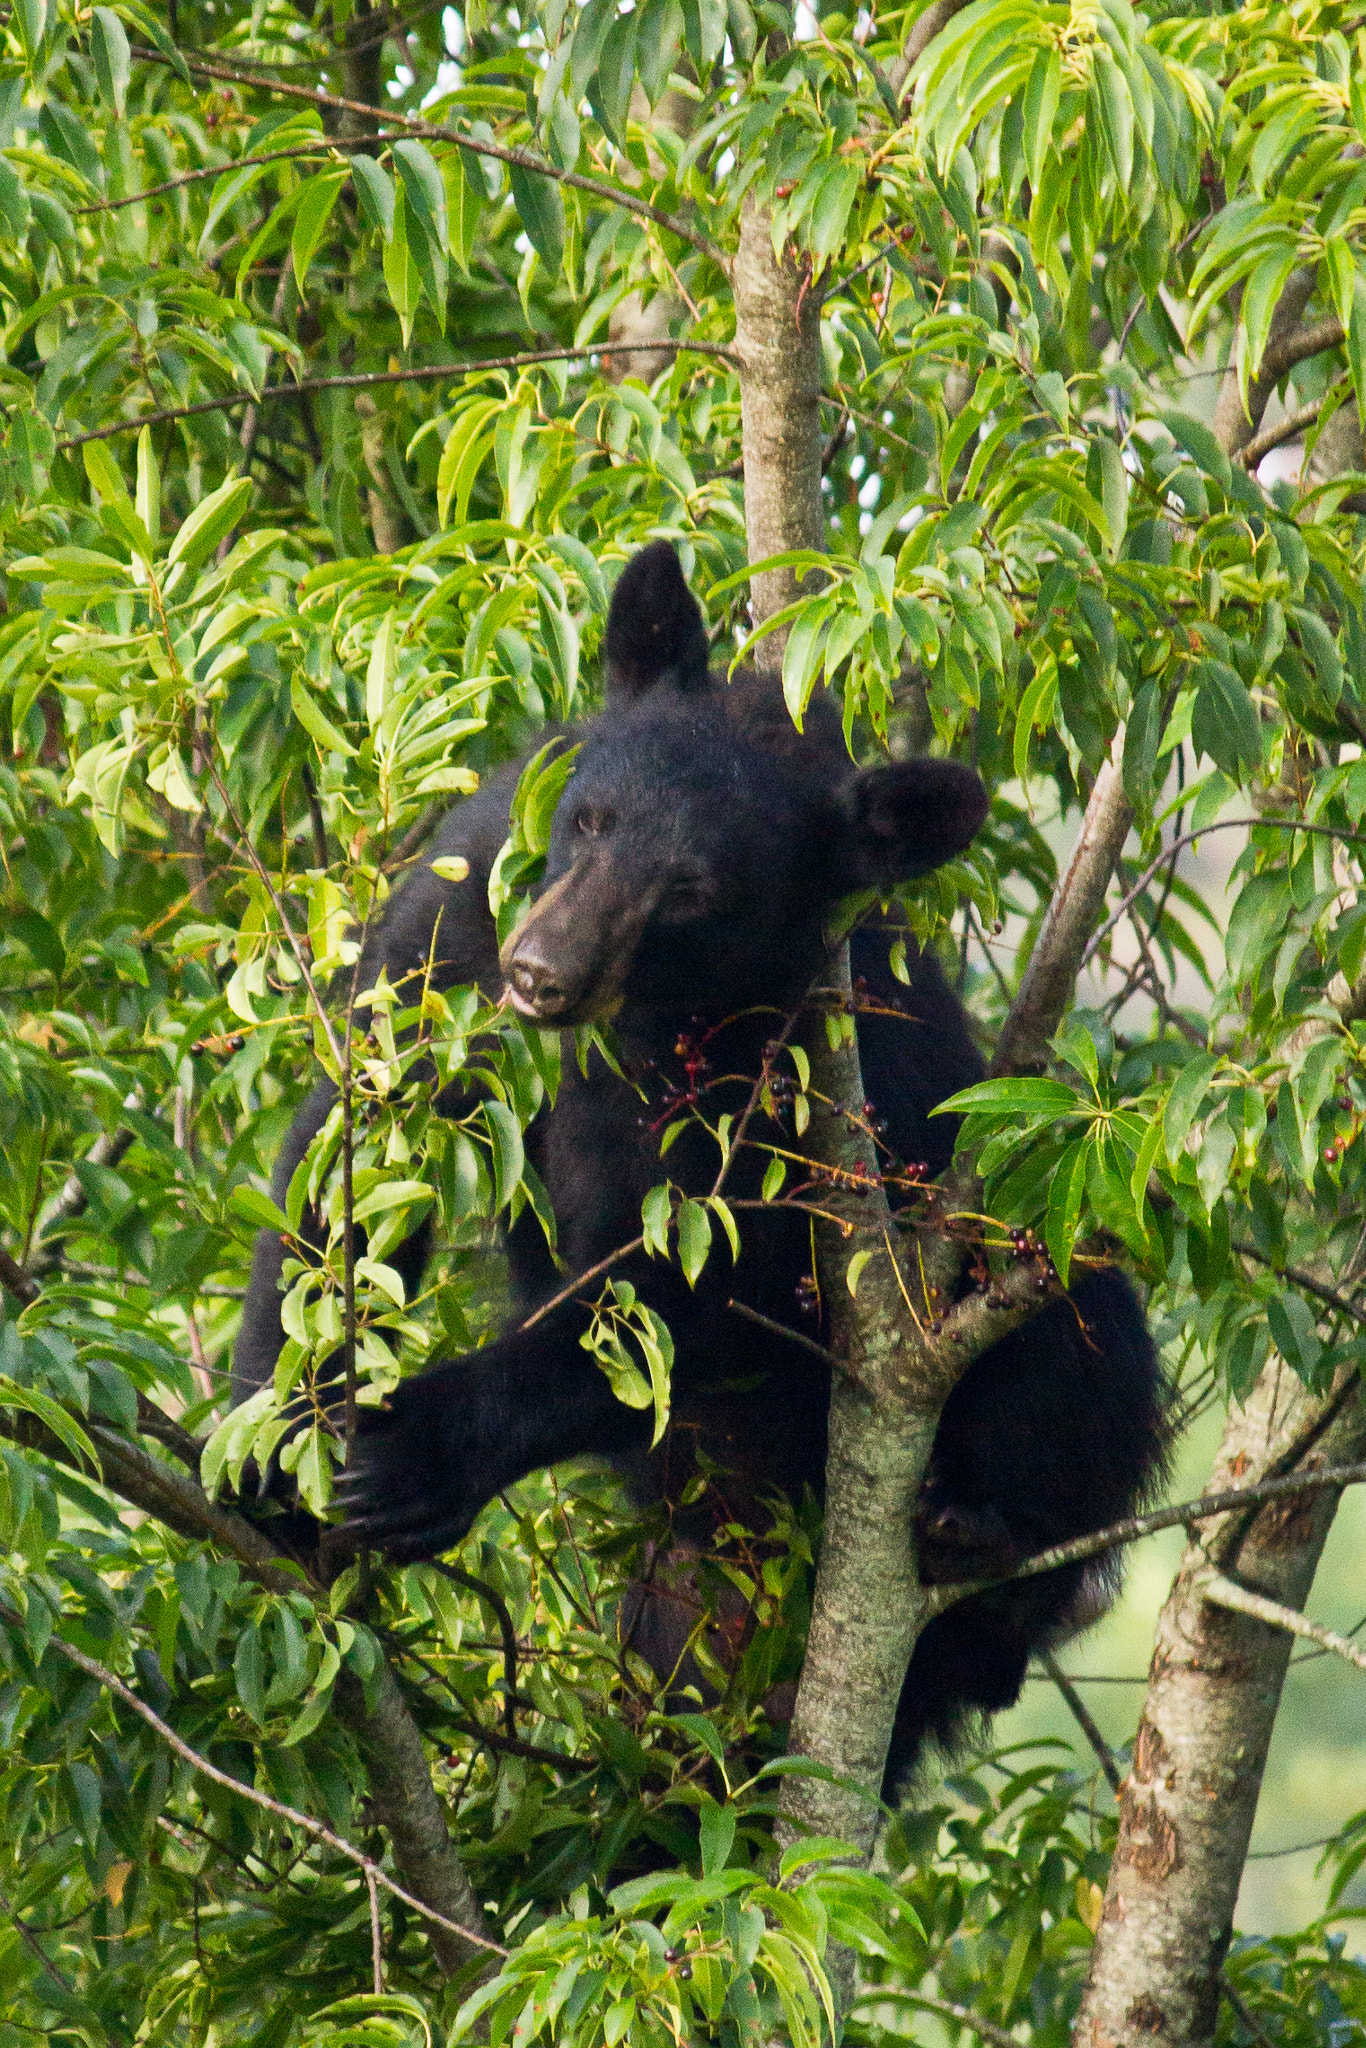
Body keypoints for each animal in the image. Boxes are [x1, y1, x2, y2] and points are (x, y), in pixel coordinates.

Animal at [234, 539, 1169, 1788]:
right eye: (590, 820)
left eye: (691, 890)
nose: (540, 971)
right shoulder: (460, 898)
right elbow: (365, 1128)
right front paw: (269, 1450)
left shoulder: (782, 1094)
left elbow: (694, 1296)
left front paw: (413, 1451)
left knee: (1073, 1325)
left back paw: (982, 1536)